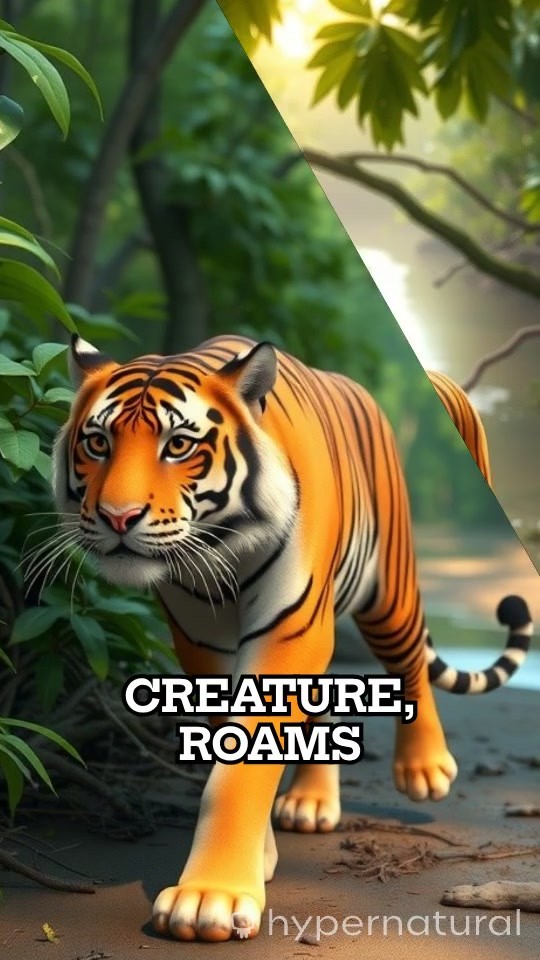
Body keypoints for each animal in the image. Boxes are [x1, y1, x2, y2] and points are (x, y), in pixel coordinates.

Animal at [52, 332, 533, 942]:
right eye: (97, 442)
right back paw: (309, 802)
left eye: (178, 445)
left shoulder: (288, 626)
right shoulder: (202, 641)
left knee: (409, 662)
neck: (220, 546)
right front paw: (256, 858)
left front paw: (209, 896)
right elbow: (231, 744)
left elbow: (239, 768)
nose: (118, 517)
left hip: (388, 591)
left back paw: (424, 769)